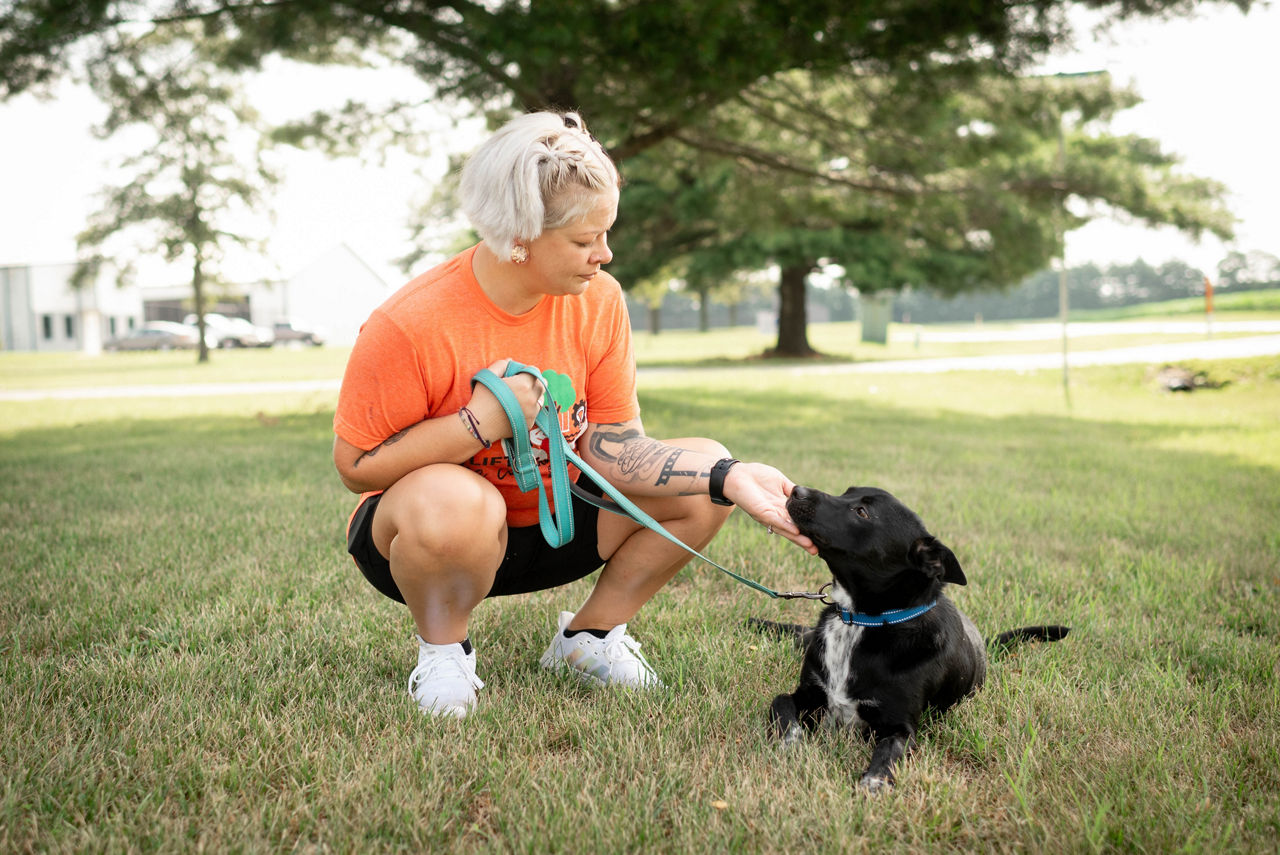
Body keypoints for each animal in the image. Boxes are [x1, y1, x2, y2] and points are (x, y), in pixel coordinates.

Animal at [752, 486, 1064, 793]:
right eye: (846, 492)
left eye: (862, 512)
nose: (796, 490)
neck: (862, 620)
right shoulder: (809, 693)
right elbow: (781, 703)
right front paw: (791, 743)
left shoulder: (900, 726)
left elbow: (890, 750)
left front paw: (875, 781)